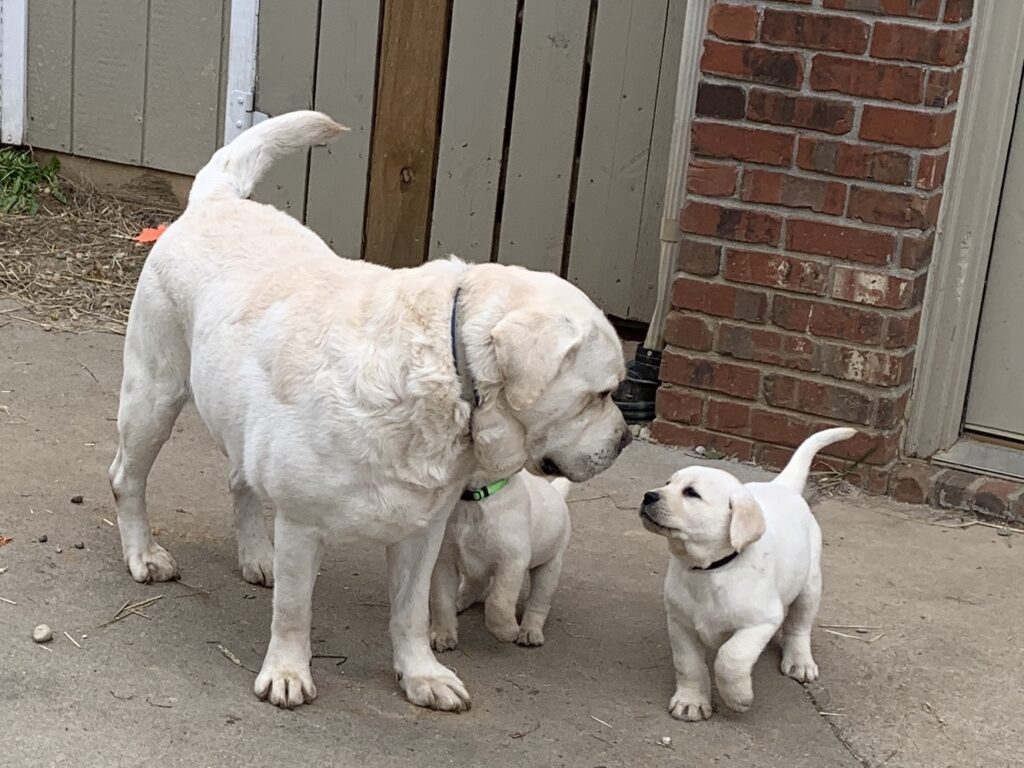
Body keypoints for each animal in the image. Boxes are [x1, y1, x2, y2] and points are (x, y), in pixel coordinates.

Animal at [430, 473, 573, 651]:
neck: (472, 502)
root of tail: (556, 492)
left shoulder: (512, 562)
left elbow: (498, 601)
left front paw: (507, 631)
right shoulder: (443, 561)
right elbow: (441, 600)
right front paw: (443, 635)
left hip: (550, 568)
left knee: (538, 603)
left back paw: (530, 631)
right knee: (475, 584)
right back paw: (458, 600)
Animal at [638, 428, 856, 720]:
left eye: (691, 493)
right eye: (668, 482)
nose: (648, 496)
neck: (710, 569)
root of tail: (782, 486)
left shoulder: (761, 621)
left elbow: (731, 657)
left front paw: (738, 697)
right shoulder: (680, 622)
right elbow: (688, 664)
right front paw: (691, 701)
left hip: (810, 584)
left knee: (799, 625)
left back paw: (799, 661)